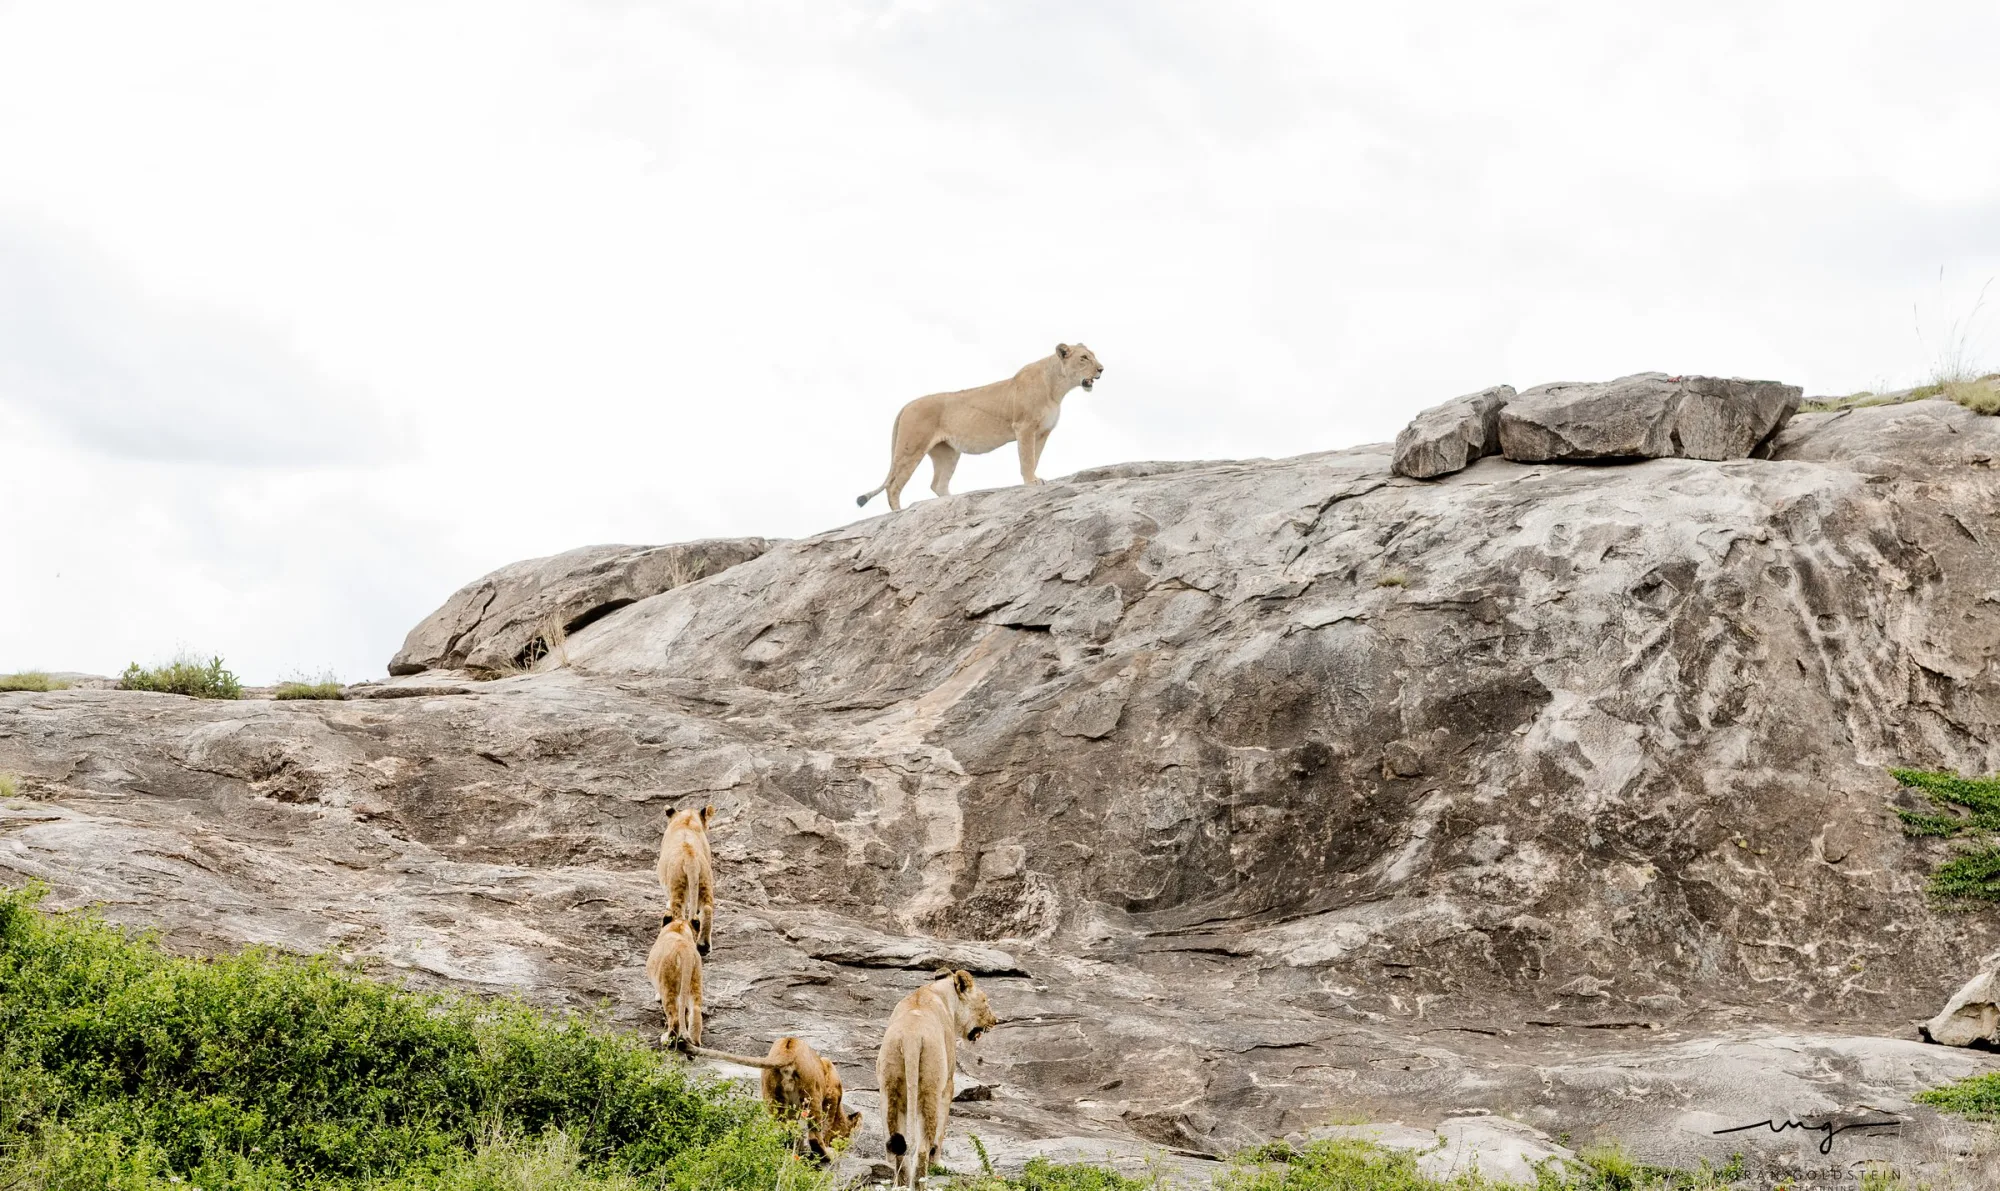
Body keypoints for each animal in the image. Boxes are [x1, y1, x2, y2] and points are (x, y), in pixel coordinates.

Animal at [647, 914, 703, 1048]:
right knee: (696, 1010)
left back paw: (667, 1040)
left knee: (675, 1019)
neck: (678, 928)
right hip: (695, 982)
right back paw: (695, 1042)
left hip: (668, 986)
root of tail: (685, 951)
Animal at [656, 805, 715, 955]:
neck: (686, 820)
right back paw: (704, 946)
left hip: (677, 883)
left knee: (679, 914)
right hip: (705, 879)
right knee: (707, 908)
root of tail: (691, 859)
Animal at [687, 1036, 862, 1160]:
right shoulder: (832, 1095)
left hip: (773, 1098)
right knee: (814, 1136)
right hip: (812, 1094)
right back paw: (826, 1155)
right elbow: (826, 1126)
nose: (844, 1148)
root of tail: (787, 1049)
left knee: (784, 1132)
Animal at [857, 343, 1106, 512]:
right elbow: (1026, 459)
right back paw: (898, 512)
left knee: (938, 484)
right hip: (911, 448)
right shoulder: (1024, 427)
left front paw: (1035, 479)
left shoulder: (1043, 433)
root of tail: (906, 405)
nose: (1102, 369)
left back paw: (950, 501)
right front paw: (1031, 482)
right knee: (893, 485)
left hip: (948, 453)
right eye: (1084, 358)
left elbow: (1035, 458)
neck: (1058, 387)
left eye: (1093, 356)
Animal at [876, 969, 998, 1189]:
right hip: (930, 1090)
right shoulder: (948, 1083)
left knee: (898, 1146)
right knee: (922, 1148)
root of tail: (911, 1036)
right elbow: (942, 1128)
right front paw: (940, 1163)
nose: (996, 1020)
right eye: (985, 1001)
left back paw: (900, 1184)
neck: (938, 992)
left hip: (889, 1089)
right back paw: (921, 1183)